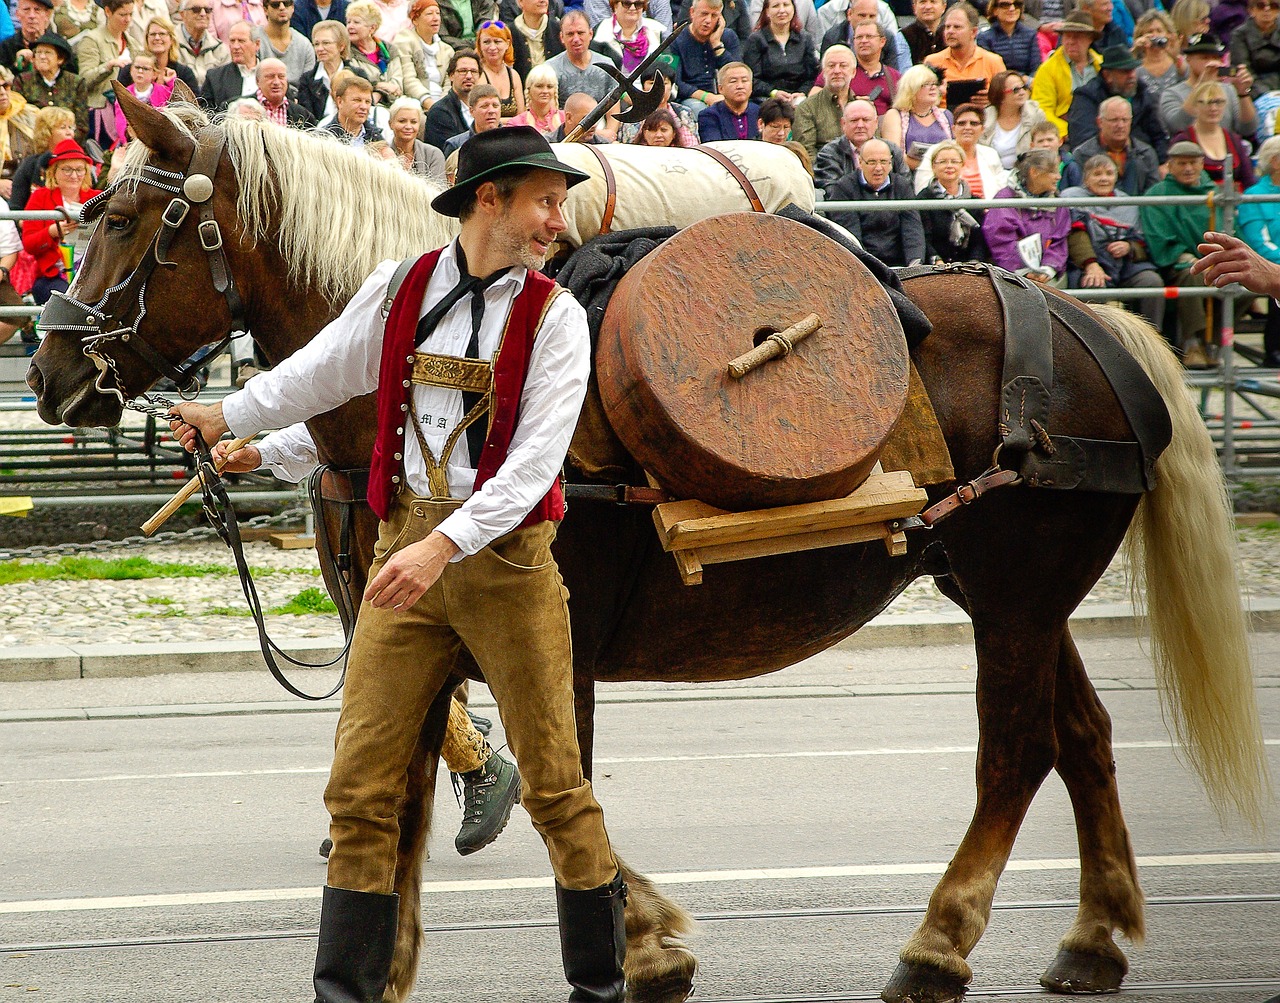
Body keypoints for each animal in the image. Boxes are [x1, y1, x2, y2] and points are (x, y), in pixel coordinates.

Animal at [30, 90, 1269, 997]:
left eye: (123, 223)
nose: (47, 368)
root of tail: (1081, 317)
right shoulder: (413, 637)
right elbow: (416, 787)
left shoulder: (549, 643)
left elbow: (553, 788)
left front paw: (645, 942)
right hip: (1004, 593)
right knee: (1082, 737)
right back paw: (1091, 940)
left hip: (1012, 598)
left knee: (1015, 754)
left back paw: (938, 944)